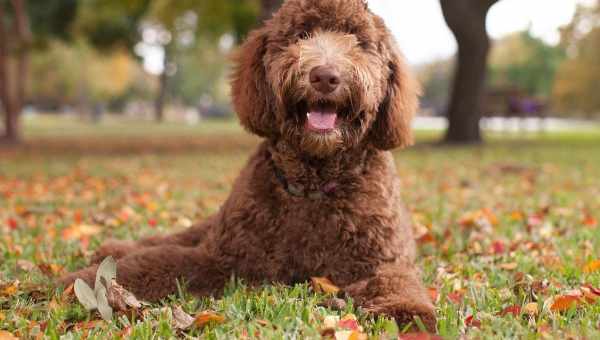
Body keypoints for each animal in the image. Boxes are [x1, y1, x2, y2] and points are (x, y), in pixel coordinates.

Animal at [61, 0, 436, 330]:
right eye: (301, 35)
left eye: (357, 40)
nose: (325, 76)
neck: (313, 186)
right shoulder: (223, 257)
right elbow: (150, 263)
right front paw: (71, 284)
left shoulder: (381, 261)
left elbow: (396, 282)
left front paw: (409, 312)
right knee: (172, 239)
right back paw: (113, 249)